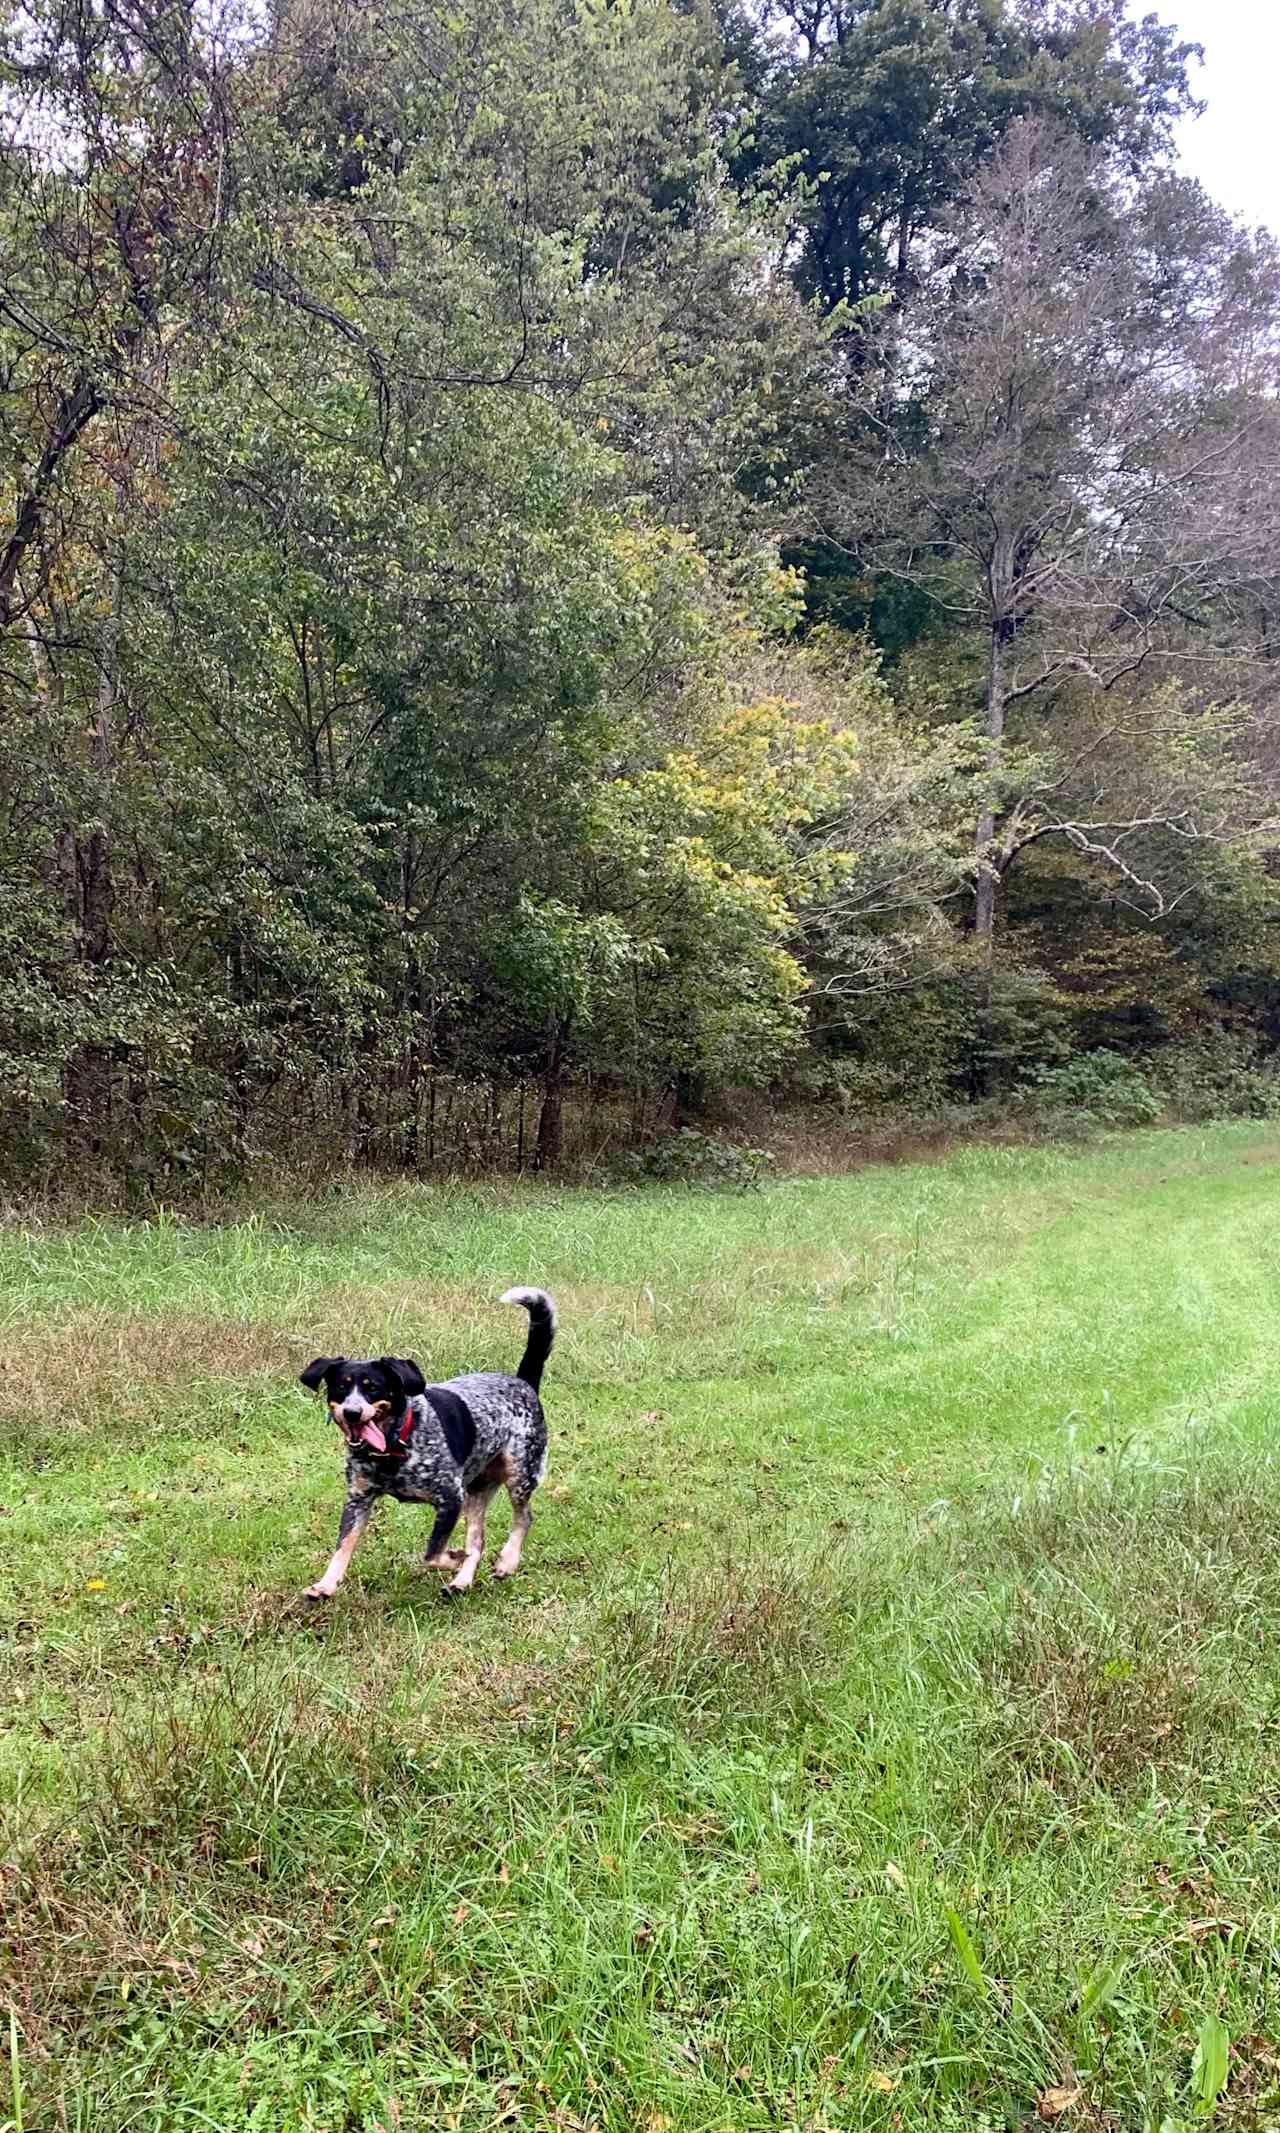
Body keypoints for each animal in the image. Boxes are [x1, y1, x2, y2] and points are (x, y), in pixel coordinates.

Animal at [302, 1279, 558, 1604]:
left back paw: (508, 1560)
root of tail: (523, 1382)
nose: (352, 1412)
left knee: (523, 1518)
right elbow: (343, 1546)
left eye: (373, 1388)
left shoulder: (450, 1498)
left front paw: (455, 1557)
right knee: (478, 1539)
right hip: (477, 1490)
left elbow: (433, 1552)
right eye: (340, 1387)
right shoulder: (358, 1498)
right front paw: (326, 1584)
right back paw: (462, 1581)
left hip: (520, 1473)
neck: (393, 1450)